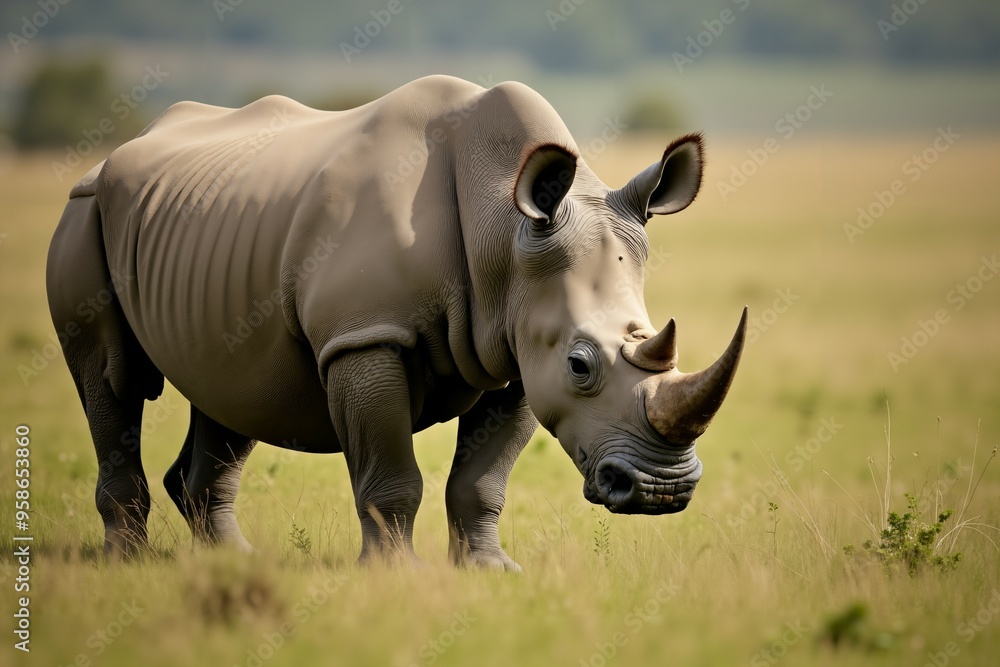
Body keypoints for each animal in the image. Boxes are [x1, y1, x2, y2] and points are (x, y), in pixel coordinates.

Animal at [47, 75, 746, 569]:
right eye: (580, 365)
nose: (661, 490)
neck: (503, 229)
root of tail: (111, 157)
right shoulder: (365, 336)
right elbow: (390, 474)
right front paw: (395, 576)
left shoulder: (517, 350)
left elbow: (483, 480)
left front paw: (490, 573)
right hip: (84, 212)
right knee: (108, 381)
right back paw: (129, 566)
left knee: (231, 386)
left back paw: (234, 563)